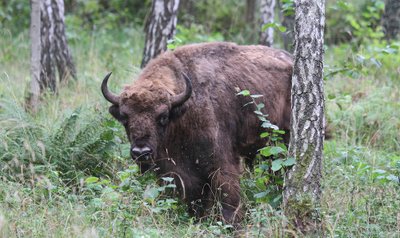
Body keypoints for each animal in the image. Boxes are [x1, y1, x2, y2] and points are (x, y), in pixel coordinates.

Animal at [101, 41, 292, 226]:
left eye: (163, 116)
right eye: (125, 117)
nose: (141, 152)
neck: (183, 110)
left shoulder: (221, 161)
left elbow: (227, 193)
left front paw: (231, 224)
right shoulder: (176, 170)